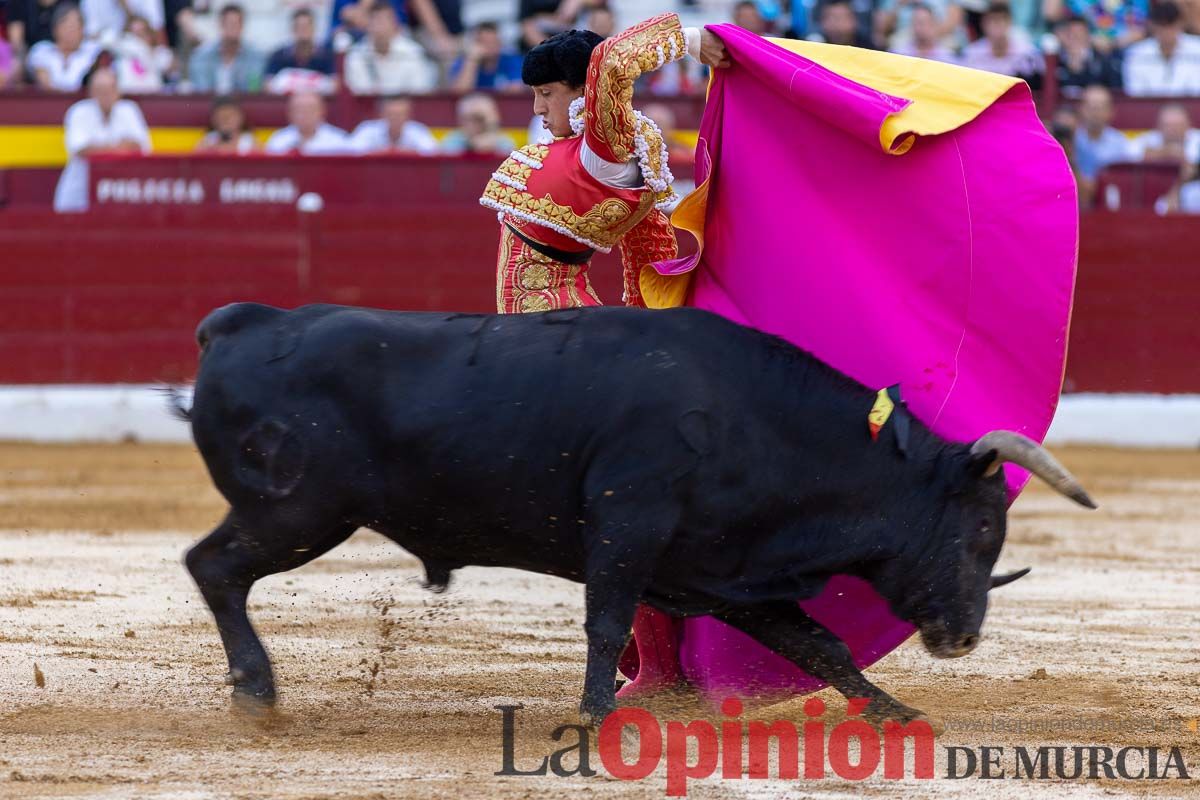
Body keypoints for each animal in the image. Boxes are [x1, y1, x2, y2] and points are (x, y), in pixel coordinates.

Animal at [180, 302, 1099, 724]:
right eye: (982, 529)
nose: (964, 636)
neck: (753, 420)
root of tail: (242, 324)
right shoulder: (629, 527)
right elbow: (605, 619)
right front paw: (594, 712)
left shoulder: (728, 571)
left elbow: (822, 645)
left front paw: (896, 714)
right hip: (298, 511)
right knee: (213, 567)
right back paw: (256, 690)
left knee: (213, 568)